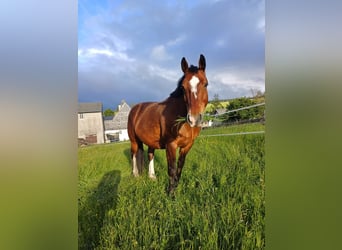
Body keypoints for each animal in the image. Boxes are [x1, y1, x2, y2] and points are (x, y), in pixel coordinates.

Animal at [127, 53, 208, 192]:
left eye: (205, 84)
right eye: (183, 87)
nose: (194, 119)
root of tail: (135, 108)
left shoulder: (187, 146)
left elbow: (179, 168)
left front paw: (176, 187)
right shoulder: (171, 145)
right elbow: (172, 169)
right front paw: (171, 193)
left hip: (150, 141)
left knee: (150, 155)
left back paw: (152, 176)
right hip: (134, 141)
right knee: (134, 154)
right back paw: (136, 174)